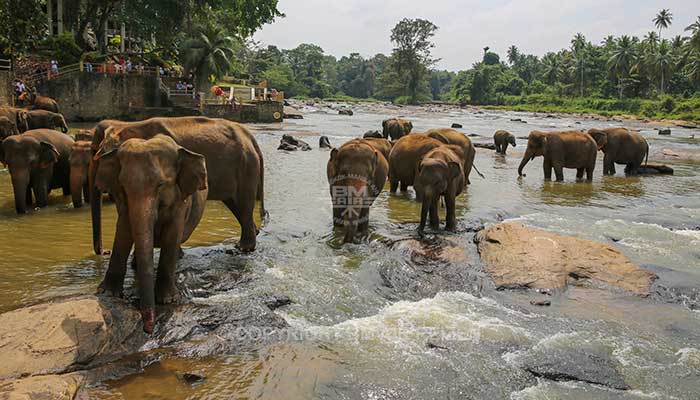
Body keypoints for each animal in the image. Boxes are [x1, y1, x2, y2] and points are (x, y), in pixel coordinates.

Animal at [90, 116, 266, 253]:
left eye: (95, 152)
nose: (106, 251)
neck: (125, 124)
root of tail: (250, 137)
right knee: (235, 204)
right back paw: (248, 238)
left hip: (247, 167)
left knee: (244, 202)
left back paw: (244, 248)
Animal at [96, 134, 211, 334]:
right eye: (123, 185)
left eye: (161, 184)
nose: (148, 328)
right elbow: (123, 232)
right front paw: (107, 293)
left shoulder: (180, 201)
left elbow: (172, 235)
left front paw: (168, 300)